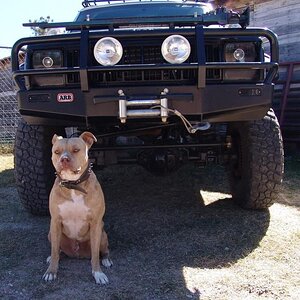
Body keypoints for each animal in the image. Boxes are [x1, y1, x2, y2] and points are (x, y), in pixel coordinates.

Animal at [42, 131, 112, 284]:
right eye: (56, 152)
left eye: (76, 150)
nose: (64, 159)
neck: (73, 185)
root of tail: (77, 253)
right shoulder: (55, 222)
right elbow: (54, 251)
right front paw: (51, 271)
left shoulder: (96, 223)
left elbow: (95, 255)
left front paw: (98, 273)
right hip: (51, 233)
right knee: (57, 250)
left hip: (103, 234)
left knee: (103, 251)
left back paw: (106, 260)